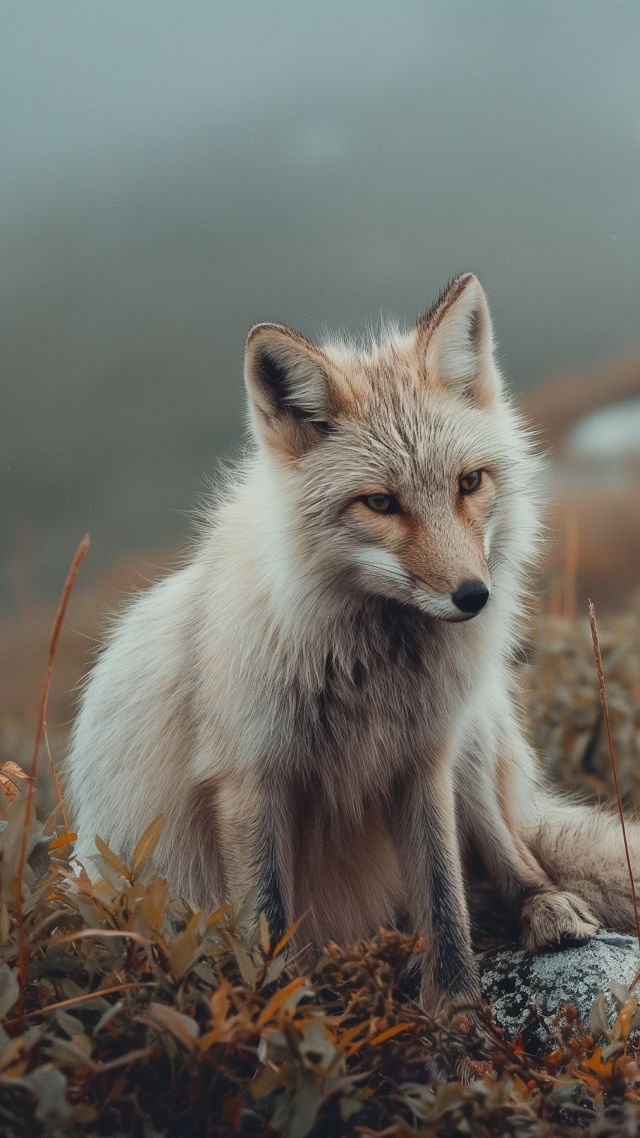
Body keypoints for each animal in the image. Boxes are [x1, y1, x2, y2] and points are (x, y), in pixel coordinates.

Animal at [67, 273, 639, 1028]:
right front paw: (276, 1015)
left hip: (475, 736)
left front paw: (457, 1012)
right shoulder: (251, 777)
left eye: (469, 483)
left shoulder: (422, 758)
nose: (474, 596)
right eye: (380, 503)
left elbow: (444, 898)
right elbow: (267, 920)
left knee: (508, 852)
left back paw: (544, 909)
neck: (369, 675)